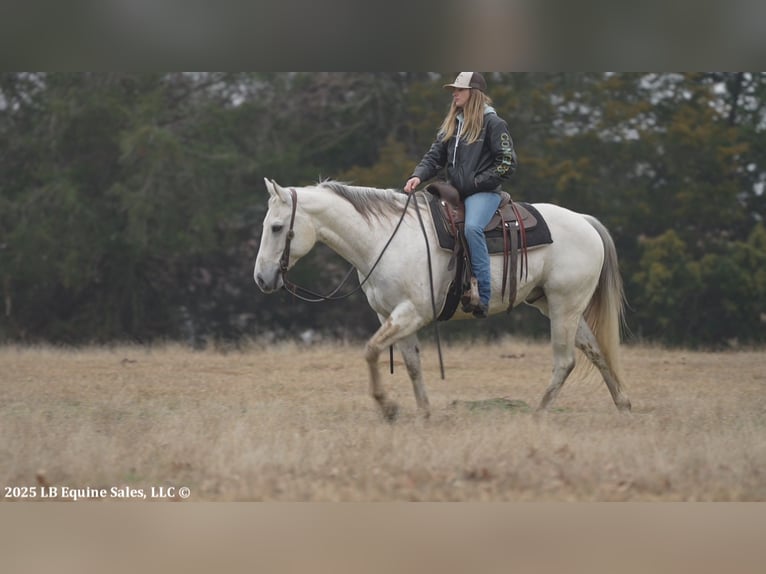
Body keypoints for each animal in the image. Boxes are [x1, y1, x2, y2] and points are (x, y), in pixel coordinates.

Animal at [255, 178, 632, 420]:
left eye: (276, 227)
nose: (261, 278)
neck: (383, 239)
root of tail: (585, 222)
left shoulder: (410, 312)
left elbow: (371, 350)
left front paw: (387, 406)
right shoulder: (390, 315)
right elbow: (411, 363)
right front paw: (423, 412)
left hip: (564, 305)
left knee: (565, 361)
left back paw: (538, 413)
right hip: (556, 306)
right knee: (596, 352)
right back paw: (623, 406)